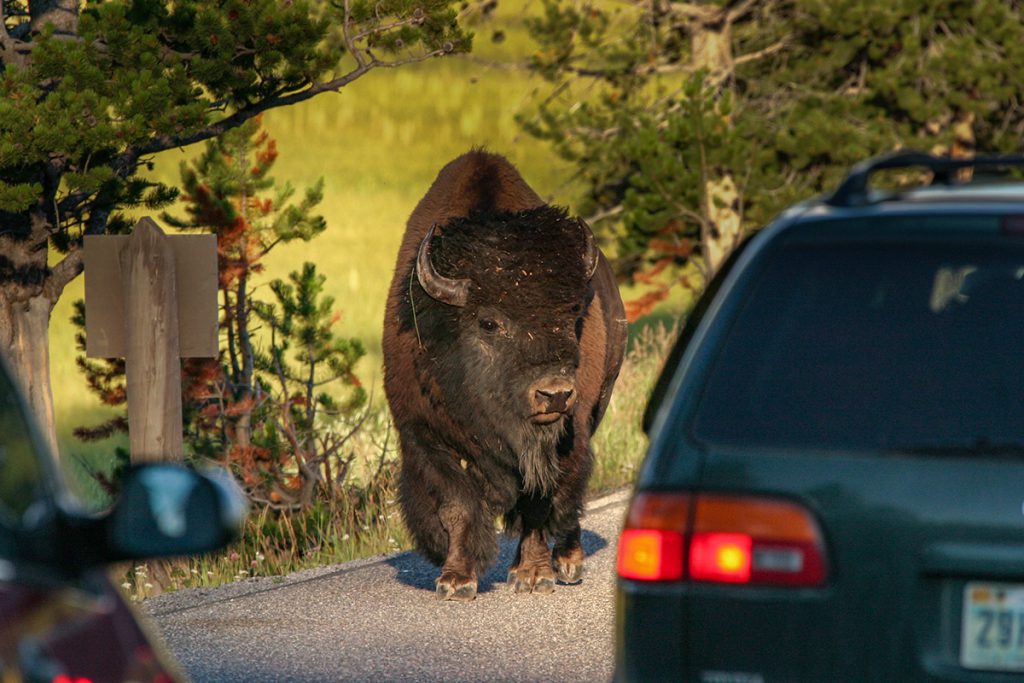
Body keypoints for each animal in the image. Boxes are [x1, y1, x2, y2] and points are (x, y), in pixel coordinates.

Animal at [382, 152, 622, 602]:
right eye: (490, 323)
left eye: (571, 314)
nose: (555, 395)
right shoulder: (423, 432)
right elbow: (457, 504)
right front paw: (456, 580)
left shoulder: (559, 442)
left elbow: (540, 504)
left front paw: (533, 575)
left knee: (570, 496)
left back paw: (568, 562)